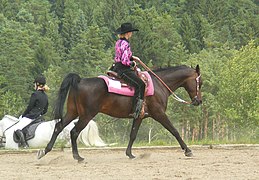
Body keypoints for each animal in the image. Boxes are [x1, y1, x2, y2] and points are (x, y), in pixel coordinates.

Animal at [37, 64, 203, 162]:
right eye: (200, 83)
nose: (198, 101)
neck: (157, 85)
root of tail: (79, 81)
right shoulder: (159, 114)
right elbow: (174, 130)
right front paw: (188, 150)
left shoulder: (139, 116)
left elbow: (133, 134)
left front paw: (130, 154)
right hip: (86, 115)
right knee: (74, 132)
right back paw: (78, 157)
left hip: (73, 112)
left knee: (59, 127)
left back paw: (45, 151)